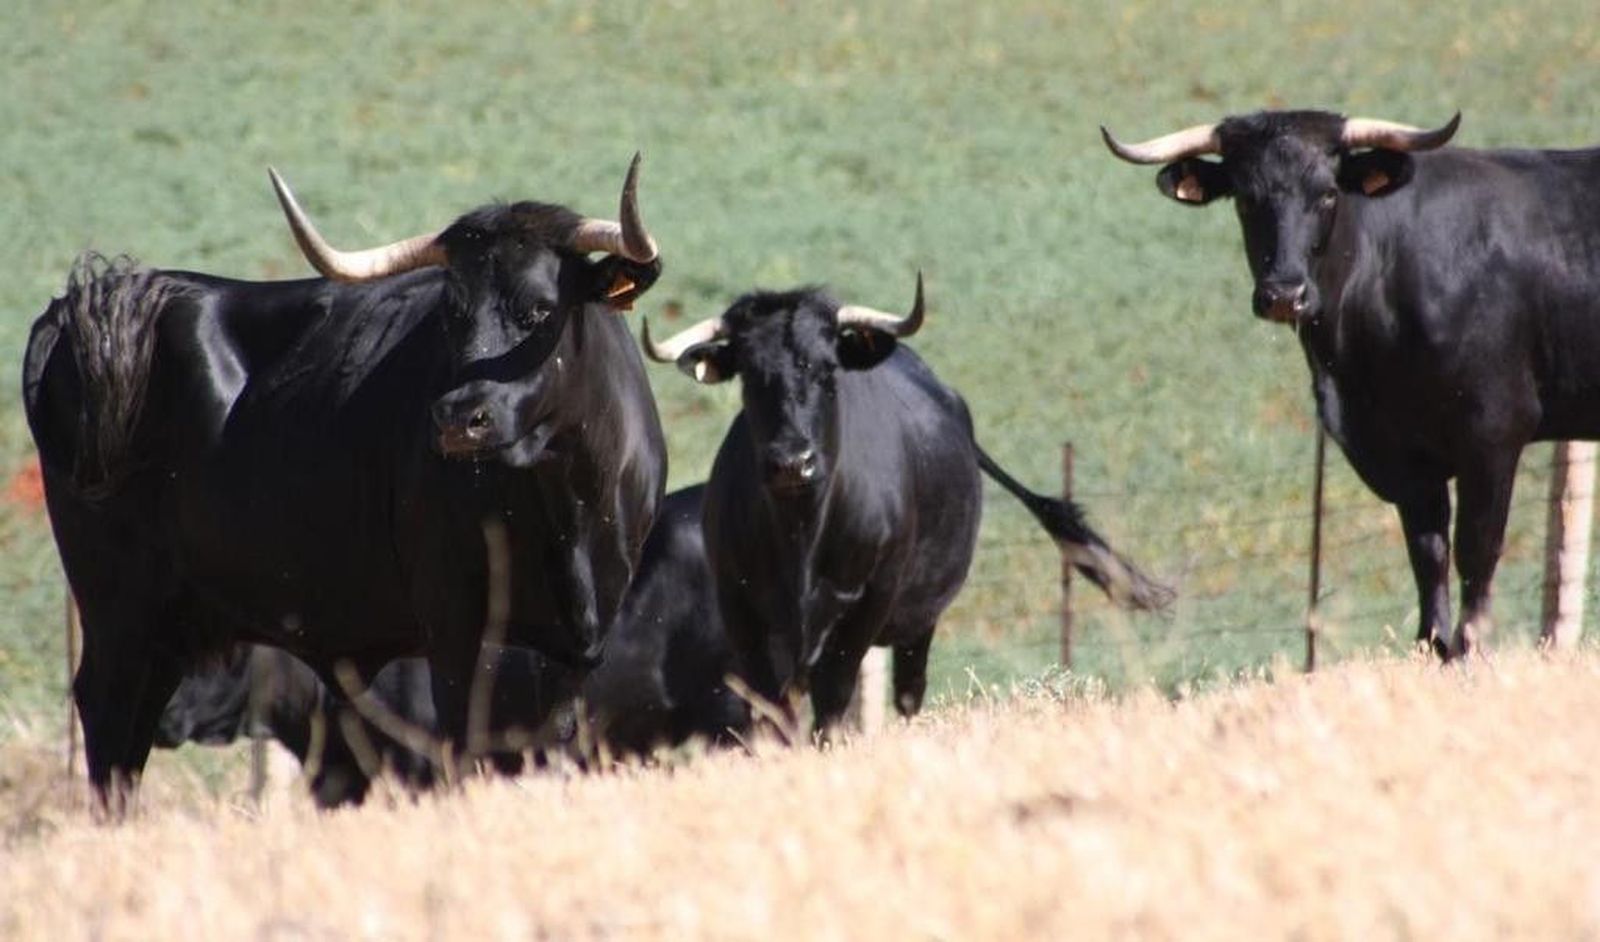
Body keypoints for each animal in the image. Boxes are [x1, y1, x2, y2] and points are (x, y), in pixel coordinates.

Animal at [23, 157, 667, 808]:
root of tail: (93, 306)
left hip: (167, 625)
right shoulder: (455, 628)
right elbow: (467, 751)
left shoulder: (573, 652)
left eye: (539, 309)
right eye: (452, 317)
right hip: (118, 606)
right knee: (109, 720)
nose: (458, 417)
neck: (567, 509)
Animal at [641, 277, 1172, 735]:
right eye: (749, 375)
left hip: (921, 618)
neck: (802, 534)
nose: (793, 463)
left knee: (908, 693)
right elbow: (770, 710)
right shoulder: (741, 607)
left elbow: (832, 704)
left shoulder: (867, 604)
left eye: (827, 370)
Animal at [1102, 109, 1600, 658]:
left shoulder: (1494, 431)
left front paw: (1470, 653)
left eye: (1326, 194)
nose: (1285, 294)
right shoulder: (1400, 452)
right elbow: (1428, 556)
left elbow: (1475, 552)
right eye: (1245, 196)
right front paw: (1432, 648)